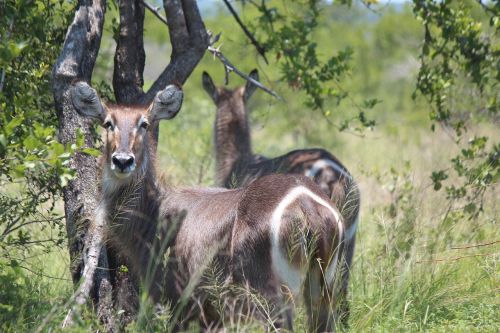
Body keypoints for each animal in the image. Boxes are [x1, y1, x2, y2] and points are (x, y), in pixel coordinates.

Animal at [71, 81, 348, 330]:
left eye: (144, 124)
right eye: (108, 123)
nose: (122, 160)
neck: (156, 212)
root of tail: (306, 204)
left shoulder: (181, 300)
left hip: (273, 294)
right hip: (324, 287)